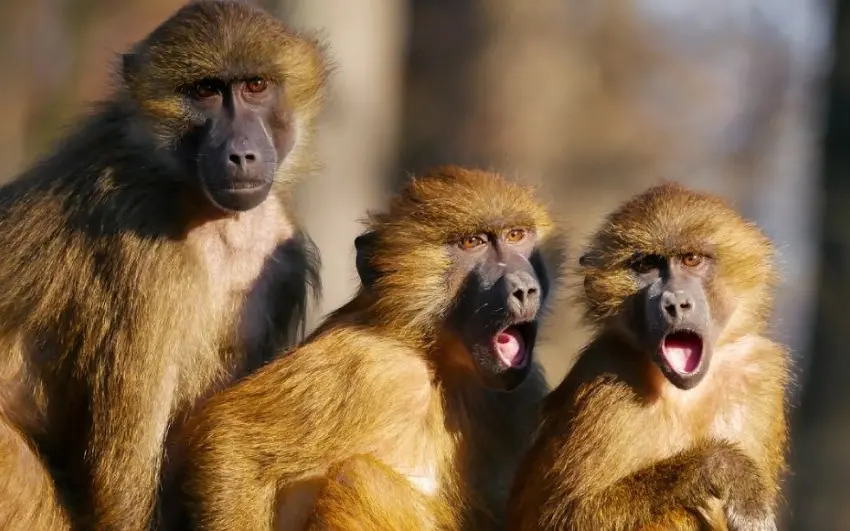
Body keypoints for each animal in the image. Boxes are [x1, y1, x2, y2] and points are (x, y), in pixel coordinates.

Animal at [0, 2, 327, 530]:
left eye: (255, 86)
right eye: (205, 92)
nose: (241, 153)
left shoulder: (284, 260)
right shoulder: (146, 257)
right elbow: (122, 484)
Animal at [175, 166, 565, 531]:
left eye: (516, 236)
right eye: (473, 242)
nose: (524, 289)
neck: (438, 361)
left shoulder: (522, 391)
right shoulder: (374, 366)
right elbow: (231, 439)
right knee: (361, 477)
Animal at [506, 182, 789, 531]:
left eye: (692, 259)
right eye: (646, 266)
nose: (674, 303)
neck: (686, 393)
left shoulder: (757, 371)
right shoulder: (606, 379)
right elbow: (563, 517)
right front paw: (724, 467)